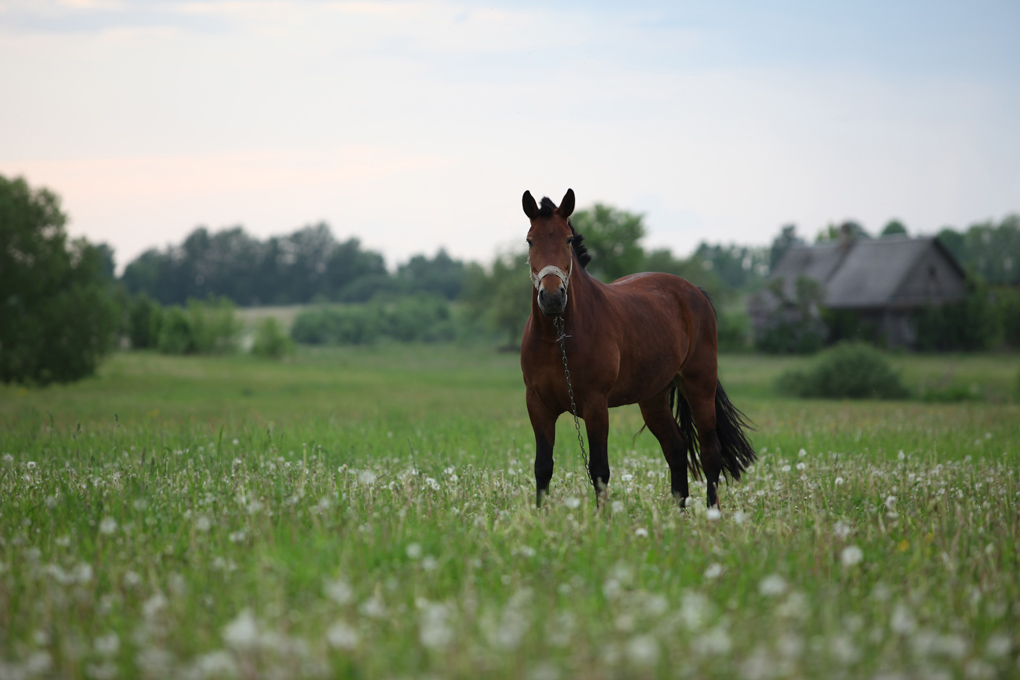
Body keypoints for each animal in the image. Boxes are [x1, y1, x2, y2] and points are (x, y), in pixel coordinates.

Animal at [522, 188, 754, 507]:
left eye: (567, 239)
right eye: (530, 240)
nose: (553, 297)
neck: (556, 339)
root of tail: (693, 291)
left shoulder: (595, 405)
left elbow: (599, 469)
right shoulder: (538, 405)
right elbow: (543, 467)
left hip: (700, 386)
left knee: (710, 454)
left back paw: (711, 513)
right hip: (653, 397)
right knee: (676, 449)